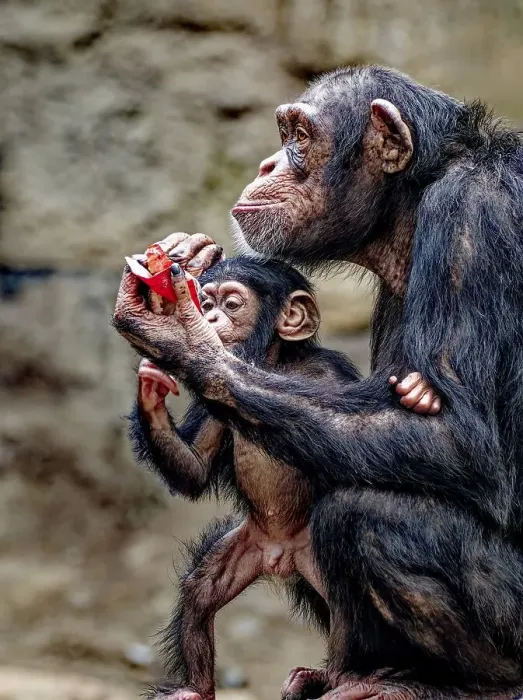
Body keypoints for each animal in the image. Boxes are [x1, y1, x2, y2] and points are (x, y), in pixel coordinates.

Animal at [113, 65, 523, 700]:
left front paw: (180, 336)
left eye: (299, 137)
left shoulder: (476, 216)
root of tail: (278, 555)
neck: (411, 204)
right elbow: (196, 466)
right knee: (206, 582)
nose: (267, 165)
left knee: (366, 516)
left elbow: (455, 435)